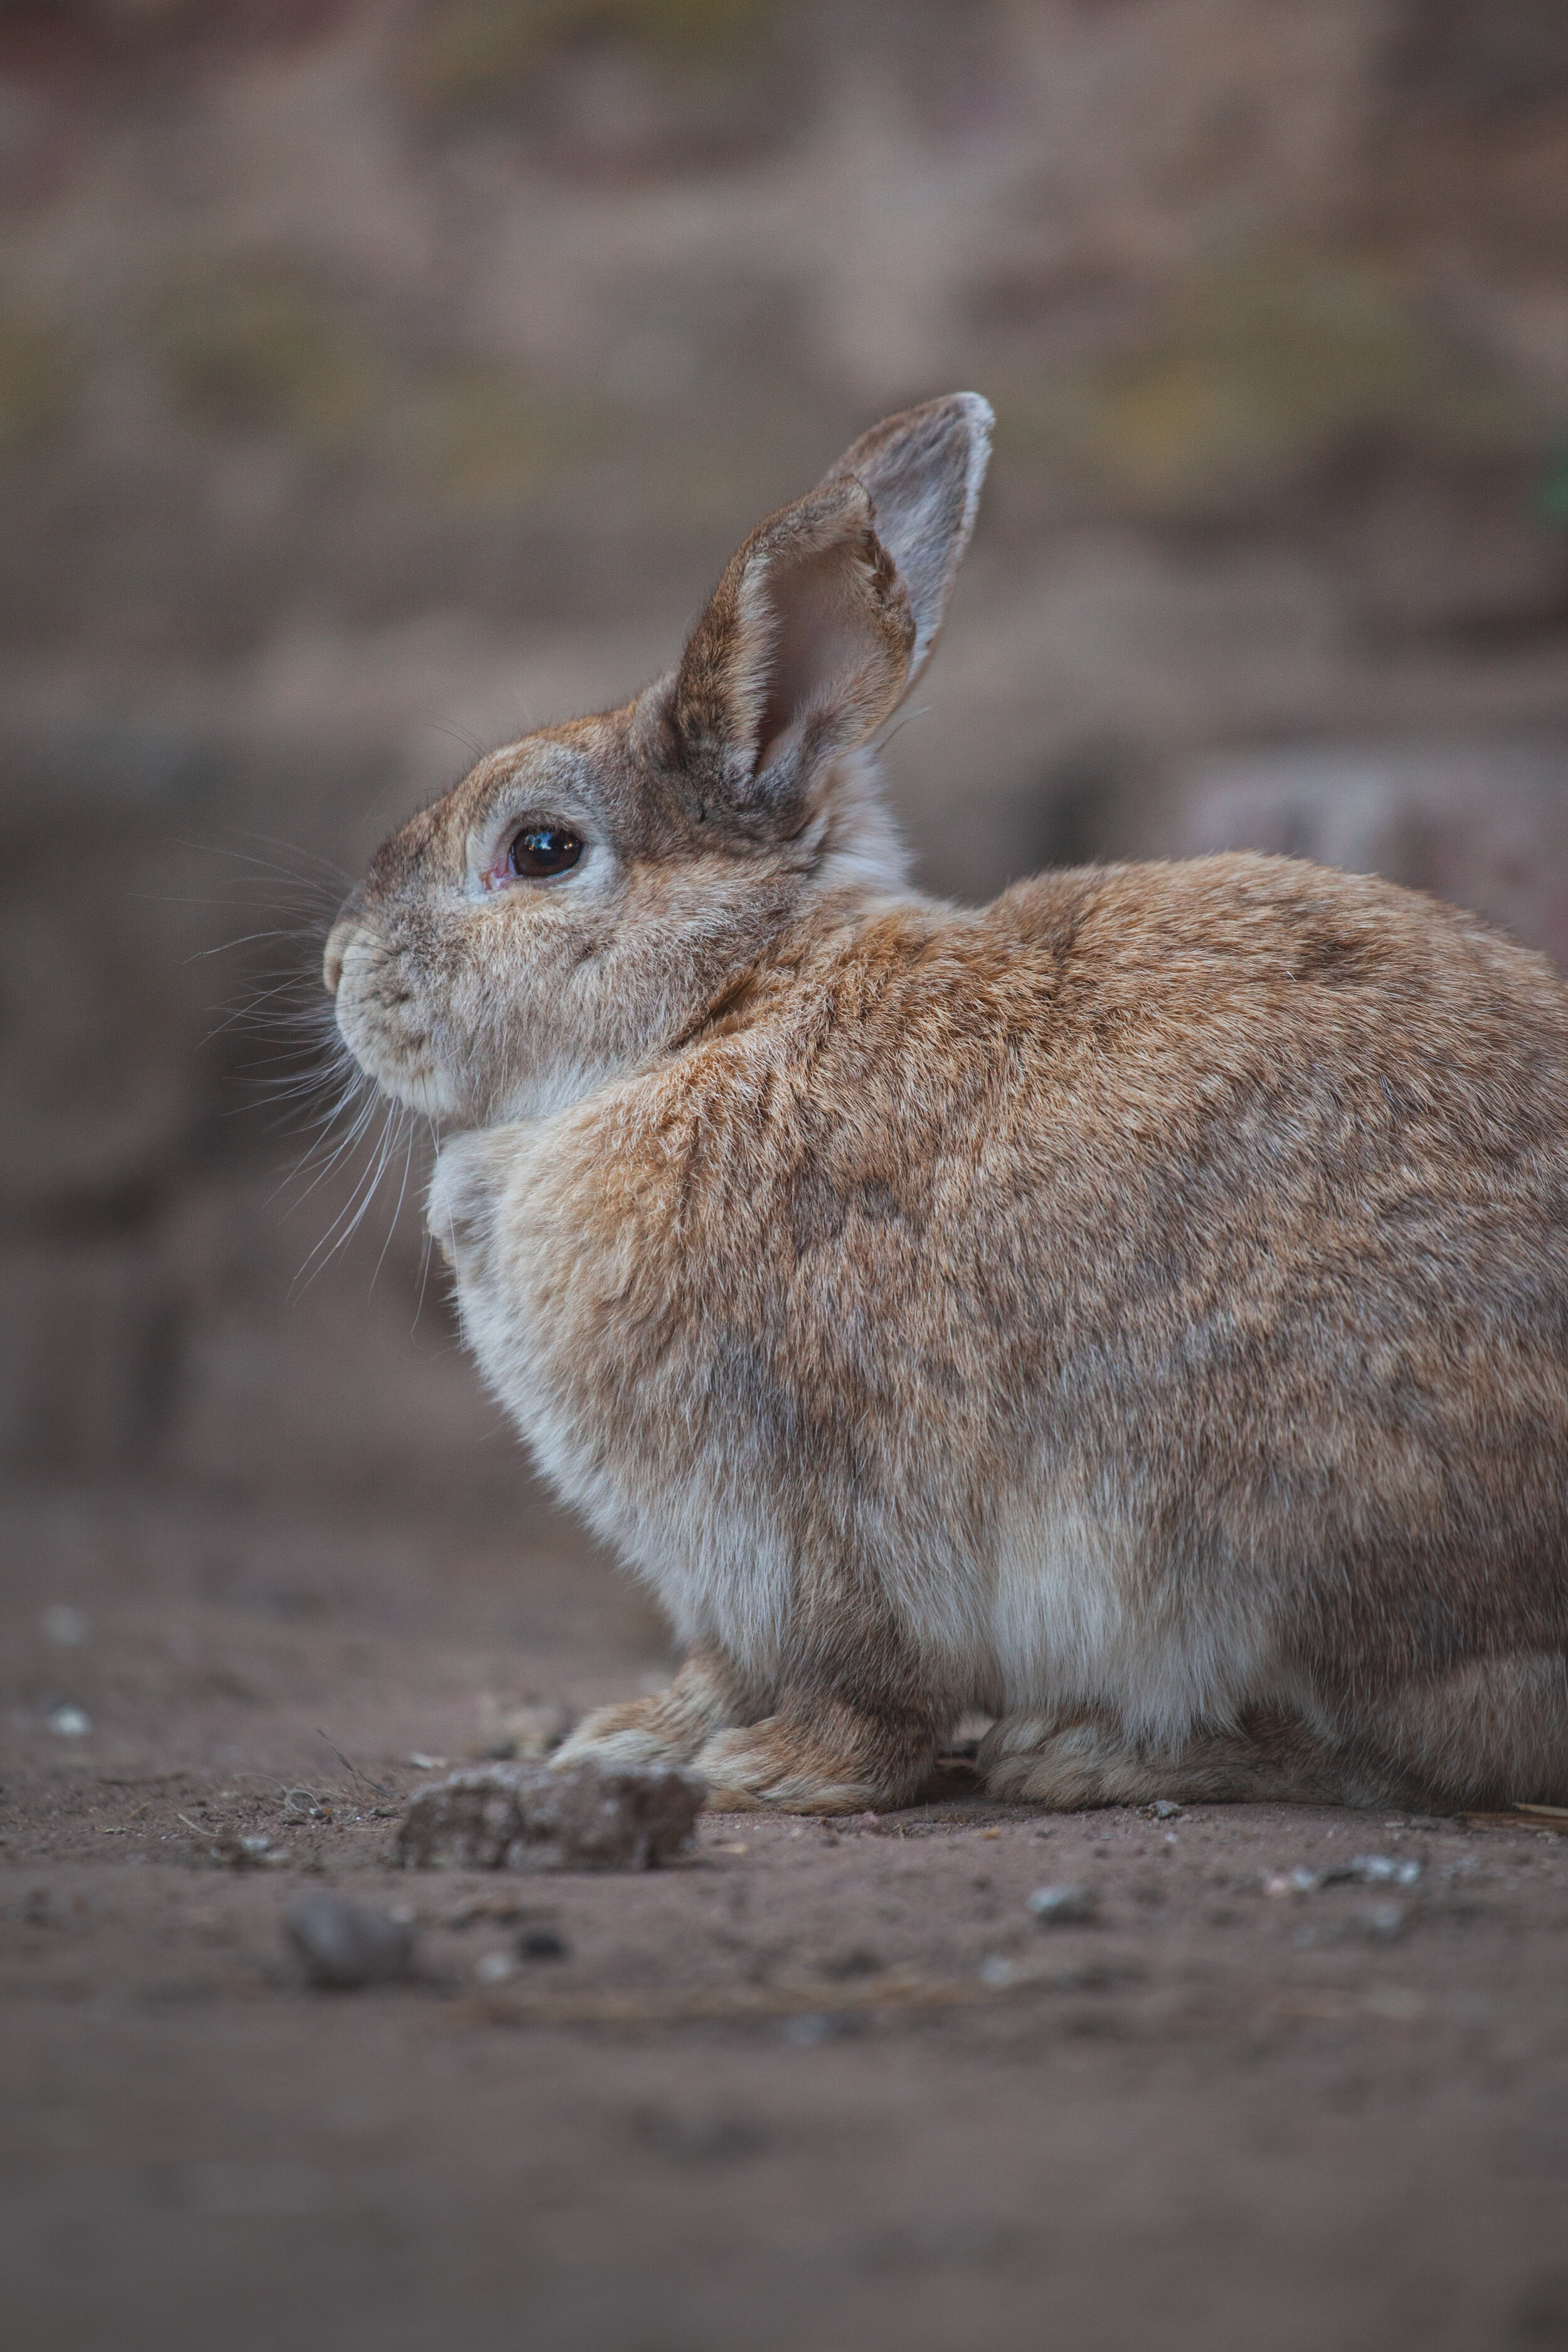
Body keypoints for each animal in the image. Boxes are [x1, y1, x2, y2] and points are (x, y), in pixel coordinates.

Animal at [324, 395, 1568, 1806]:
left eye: (539, 851)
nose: (338, 970)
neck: (719, 1006)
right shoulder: (722, 1573)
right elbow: (719, 1665)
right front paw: (633, 1737)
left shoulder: (804, 1515)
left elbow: (862, 1684)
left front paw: (770, 1776)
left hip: (1284, 1523)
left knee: (1399, 1739)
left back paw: (1082, 1754)